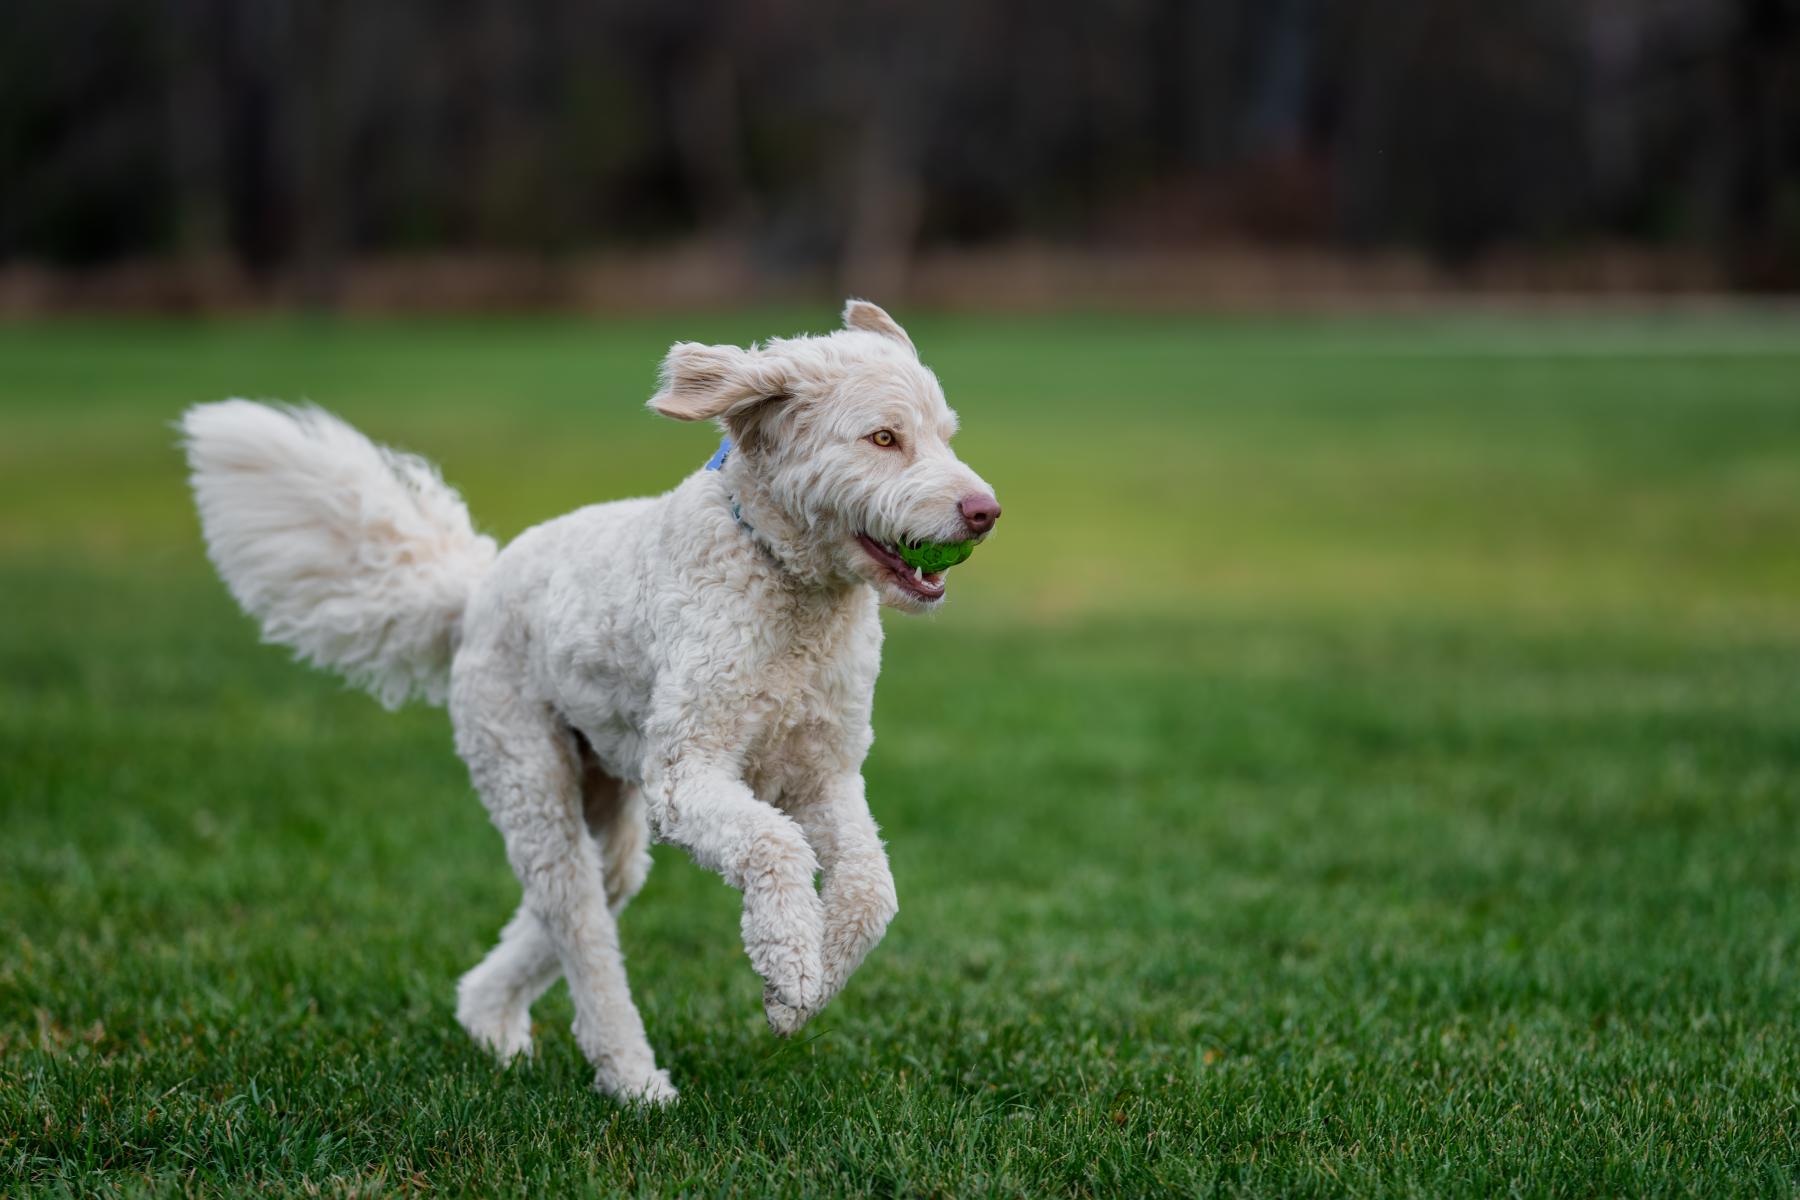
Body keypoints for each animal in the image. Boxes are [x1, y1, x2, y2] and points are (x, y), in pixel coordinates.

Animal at [180, 301, 1000, 1104]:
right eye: (883, 437)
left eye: (945, 435)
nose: (985, 510)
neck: (788, 585)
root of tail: (476, 590)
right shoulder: (686, 776)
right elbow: (775, 847)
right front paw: (789, 962)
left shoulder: (823, 777)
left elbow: (871, 892)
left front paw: (808, 985)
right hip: (530, 779)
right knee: (582, 930)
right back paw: (631, 1077)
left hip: (608, 809)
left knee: (567, 913)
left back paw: (491, 1024)